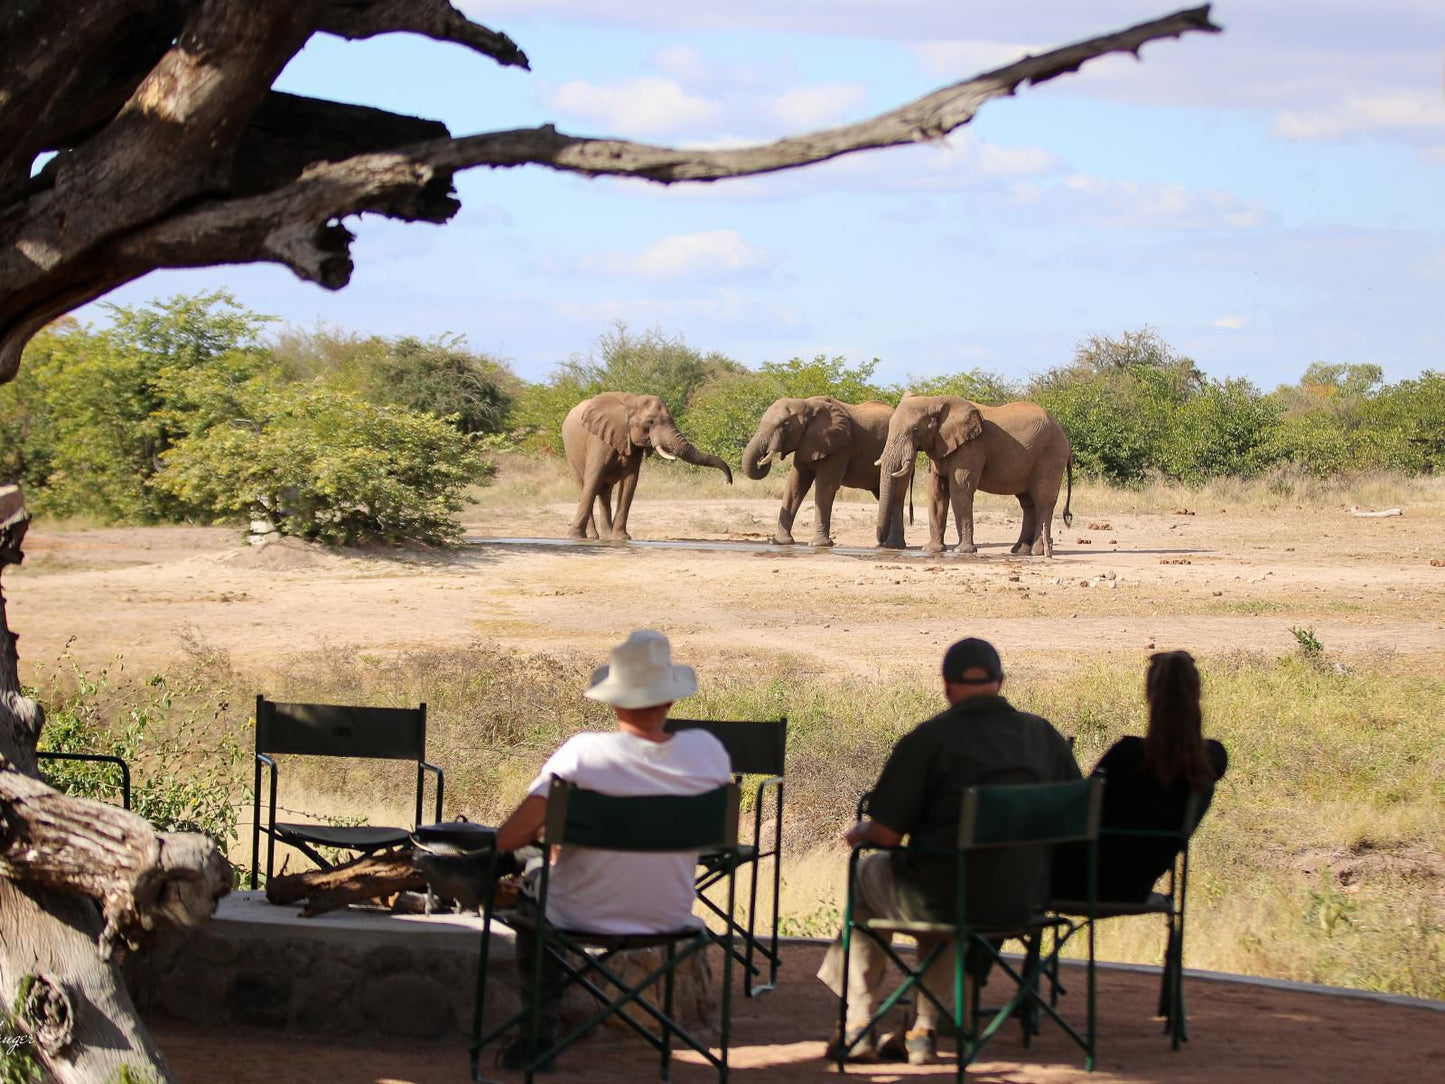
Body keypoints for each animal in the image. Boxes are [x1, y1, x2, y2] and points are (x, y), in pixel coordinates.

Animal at [557, 390, 728, 543]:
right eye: (650, 422)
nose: (728, 481)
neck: (632, 402)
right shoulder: (598, 440)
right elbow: (593, 479)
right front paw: (573, 537)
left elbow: (630, 482)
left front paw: (622, 538)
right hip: (570, 451)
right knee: (585, 485)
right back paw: (592, 537)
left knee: (605, 492)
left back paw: (606, 537)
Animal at [745, 396, 901, 546]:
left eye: (786, 425)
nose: (764, 457)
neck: (807, 404)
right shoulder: (806, 444)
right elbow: (795, 485)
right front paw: (779, 542)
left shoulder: (840, 446)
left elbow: (825, 486)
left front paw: (818, 544)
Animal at [867, 396, 1075, 555]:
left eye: (915, 430)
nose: (879, 544)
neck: (935, 400)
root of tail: (1065, 437)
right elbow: (937, 493)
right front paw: (932, 550)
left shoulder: (971, 447)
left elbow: (960, 488)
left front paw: (962, 551)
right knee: (1027, 503)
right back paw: (1020, 551)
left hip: (1050, 457)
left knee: (1042, 501)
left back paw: (1037, 552)